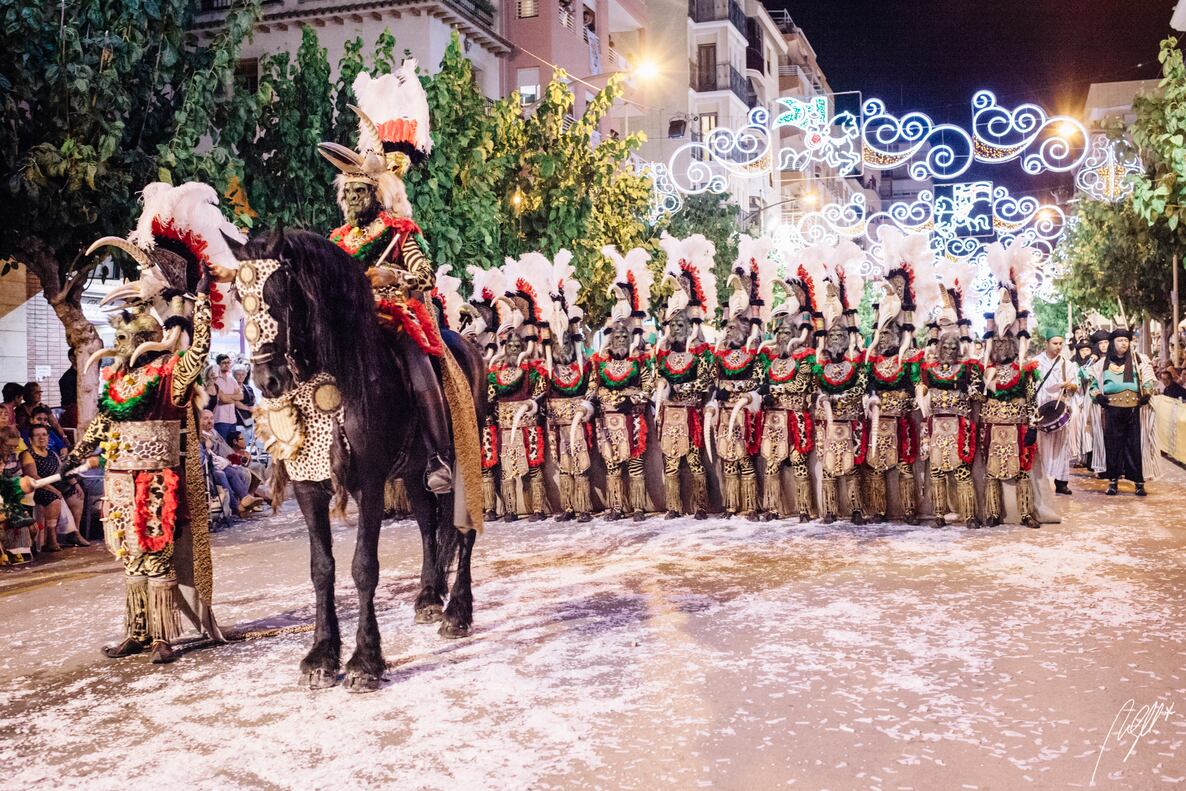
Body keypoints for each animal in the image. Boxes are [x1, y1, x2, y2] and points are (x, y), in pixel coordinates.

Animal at [226, 228, 486, 692]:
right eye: (240, 294)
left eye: (280, 293)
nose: (267, 380)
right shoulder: (307, 487)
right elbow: (321, 568)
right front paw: (320, 656)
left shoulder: (368, 483)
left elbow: (364, 566)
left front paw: (365, 662)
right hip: (415, 472)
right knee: (428, 525)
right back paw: (428, 596)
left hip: (467, 457)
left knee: (463, 528)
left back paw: (457, 612)